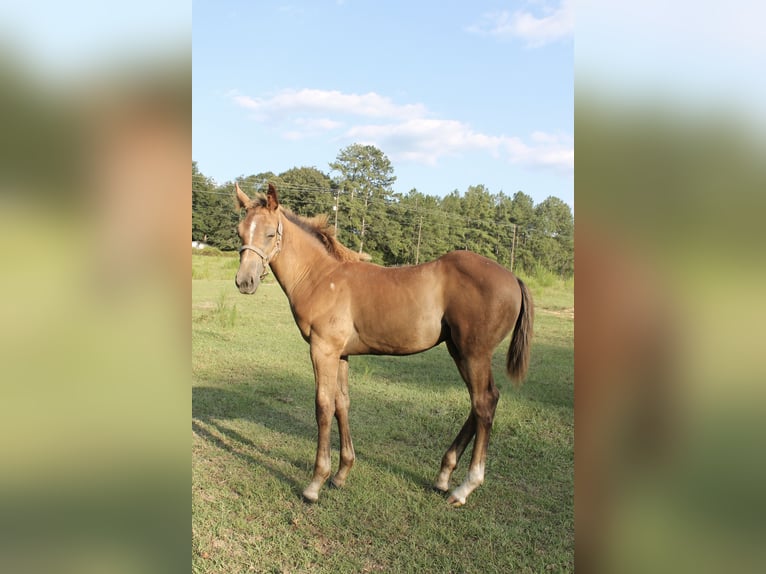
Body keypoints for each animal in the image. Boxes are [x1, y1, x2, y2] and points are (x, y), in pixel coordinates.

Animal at [234, 182, 536, 506]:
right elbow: (342, 403)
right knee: (481, 401)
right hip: (459, 351)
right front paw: (341, 474)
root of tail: (513, 277)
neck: (320, 277)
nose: (245, 281)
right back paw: (444, 476)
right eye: (240, 232)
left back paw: (464, 487)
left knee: (484, 403)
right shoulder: (341, 354)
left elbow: (323, 406)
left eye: (269, 233)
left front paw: (315, 483)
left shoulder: (322, 349)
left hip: (474, 353)